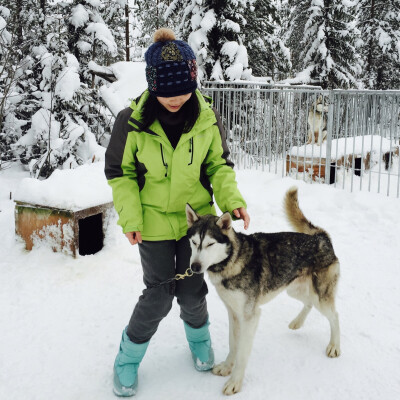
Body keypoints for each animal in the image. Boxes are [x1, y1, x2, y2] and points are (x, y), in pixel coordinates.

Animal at [186, 187, 340, 394]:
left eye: (210, 244)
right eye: (194, 242)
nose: (194, 267)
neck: (232, 260)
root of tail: (320, 237)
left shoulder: (250, 316)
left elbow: (242, 353)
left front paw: (235, 382)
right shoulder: (233, 313)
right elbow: (233, 344)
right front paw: (227, 367)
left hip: (321, 297)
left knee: (334, 316)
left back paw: (334, 346)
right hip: (294, 289)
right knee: (308, 303)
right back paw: (297, 322)